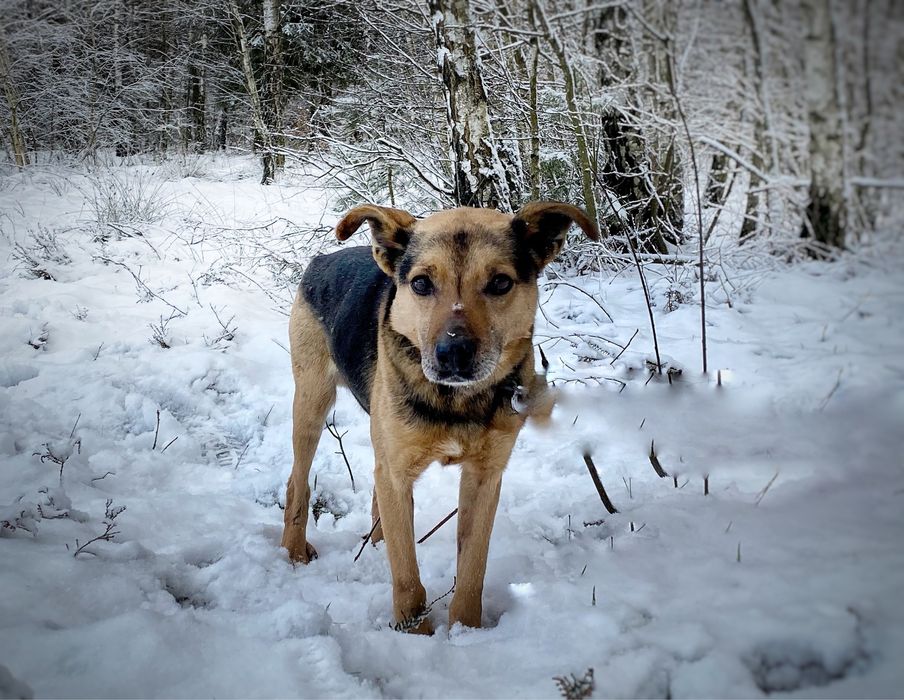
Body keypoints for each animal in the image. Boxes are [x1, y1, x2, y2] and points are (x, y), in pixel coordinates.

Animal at [278, 201, 596, 636]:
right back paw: (294, 550)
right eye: (421, 284)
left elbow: (473, 567)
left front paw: (466, 632)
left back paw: (377, 542)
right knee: (299, 481)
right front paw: (416, 633)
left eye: (500, 282)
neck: (455, 401)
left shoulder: (484, 477)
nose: (453, 353)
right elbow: (407, 577)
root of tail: (323, 258)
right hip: (311, 401)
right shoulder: (397, 471)